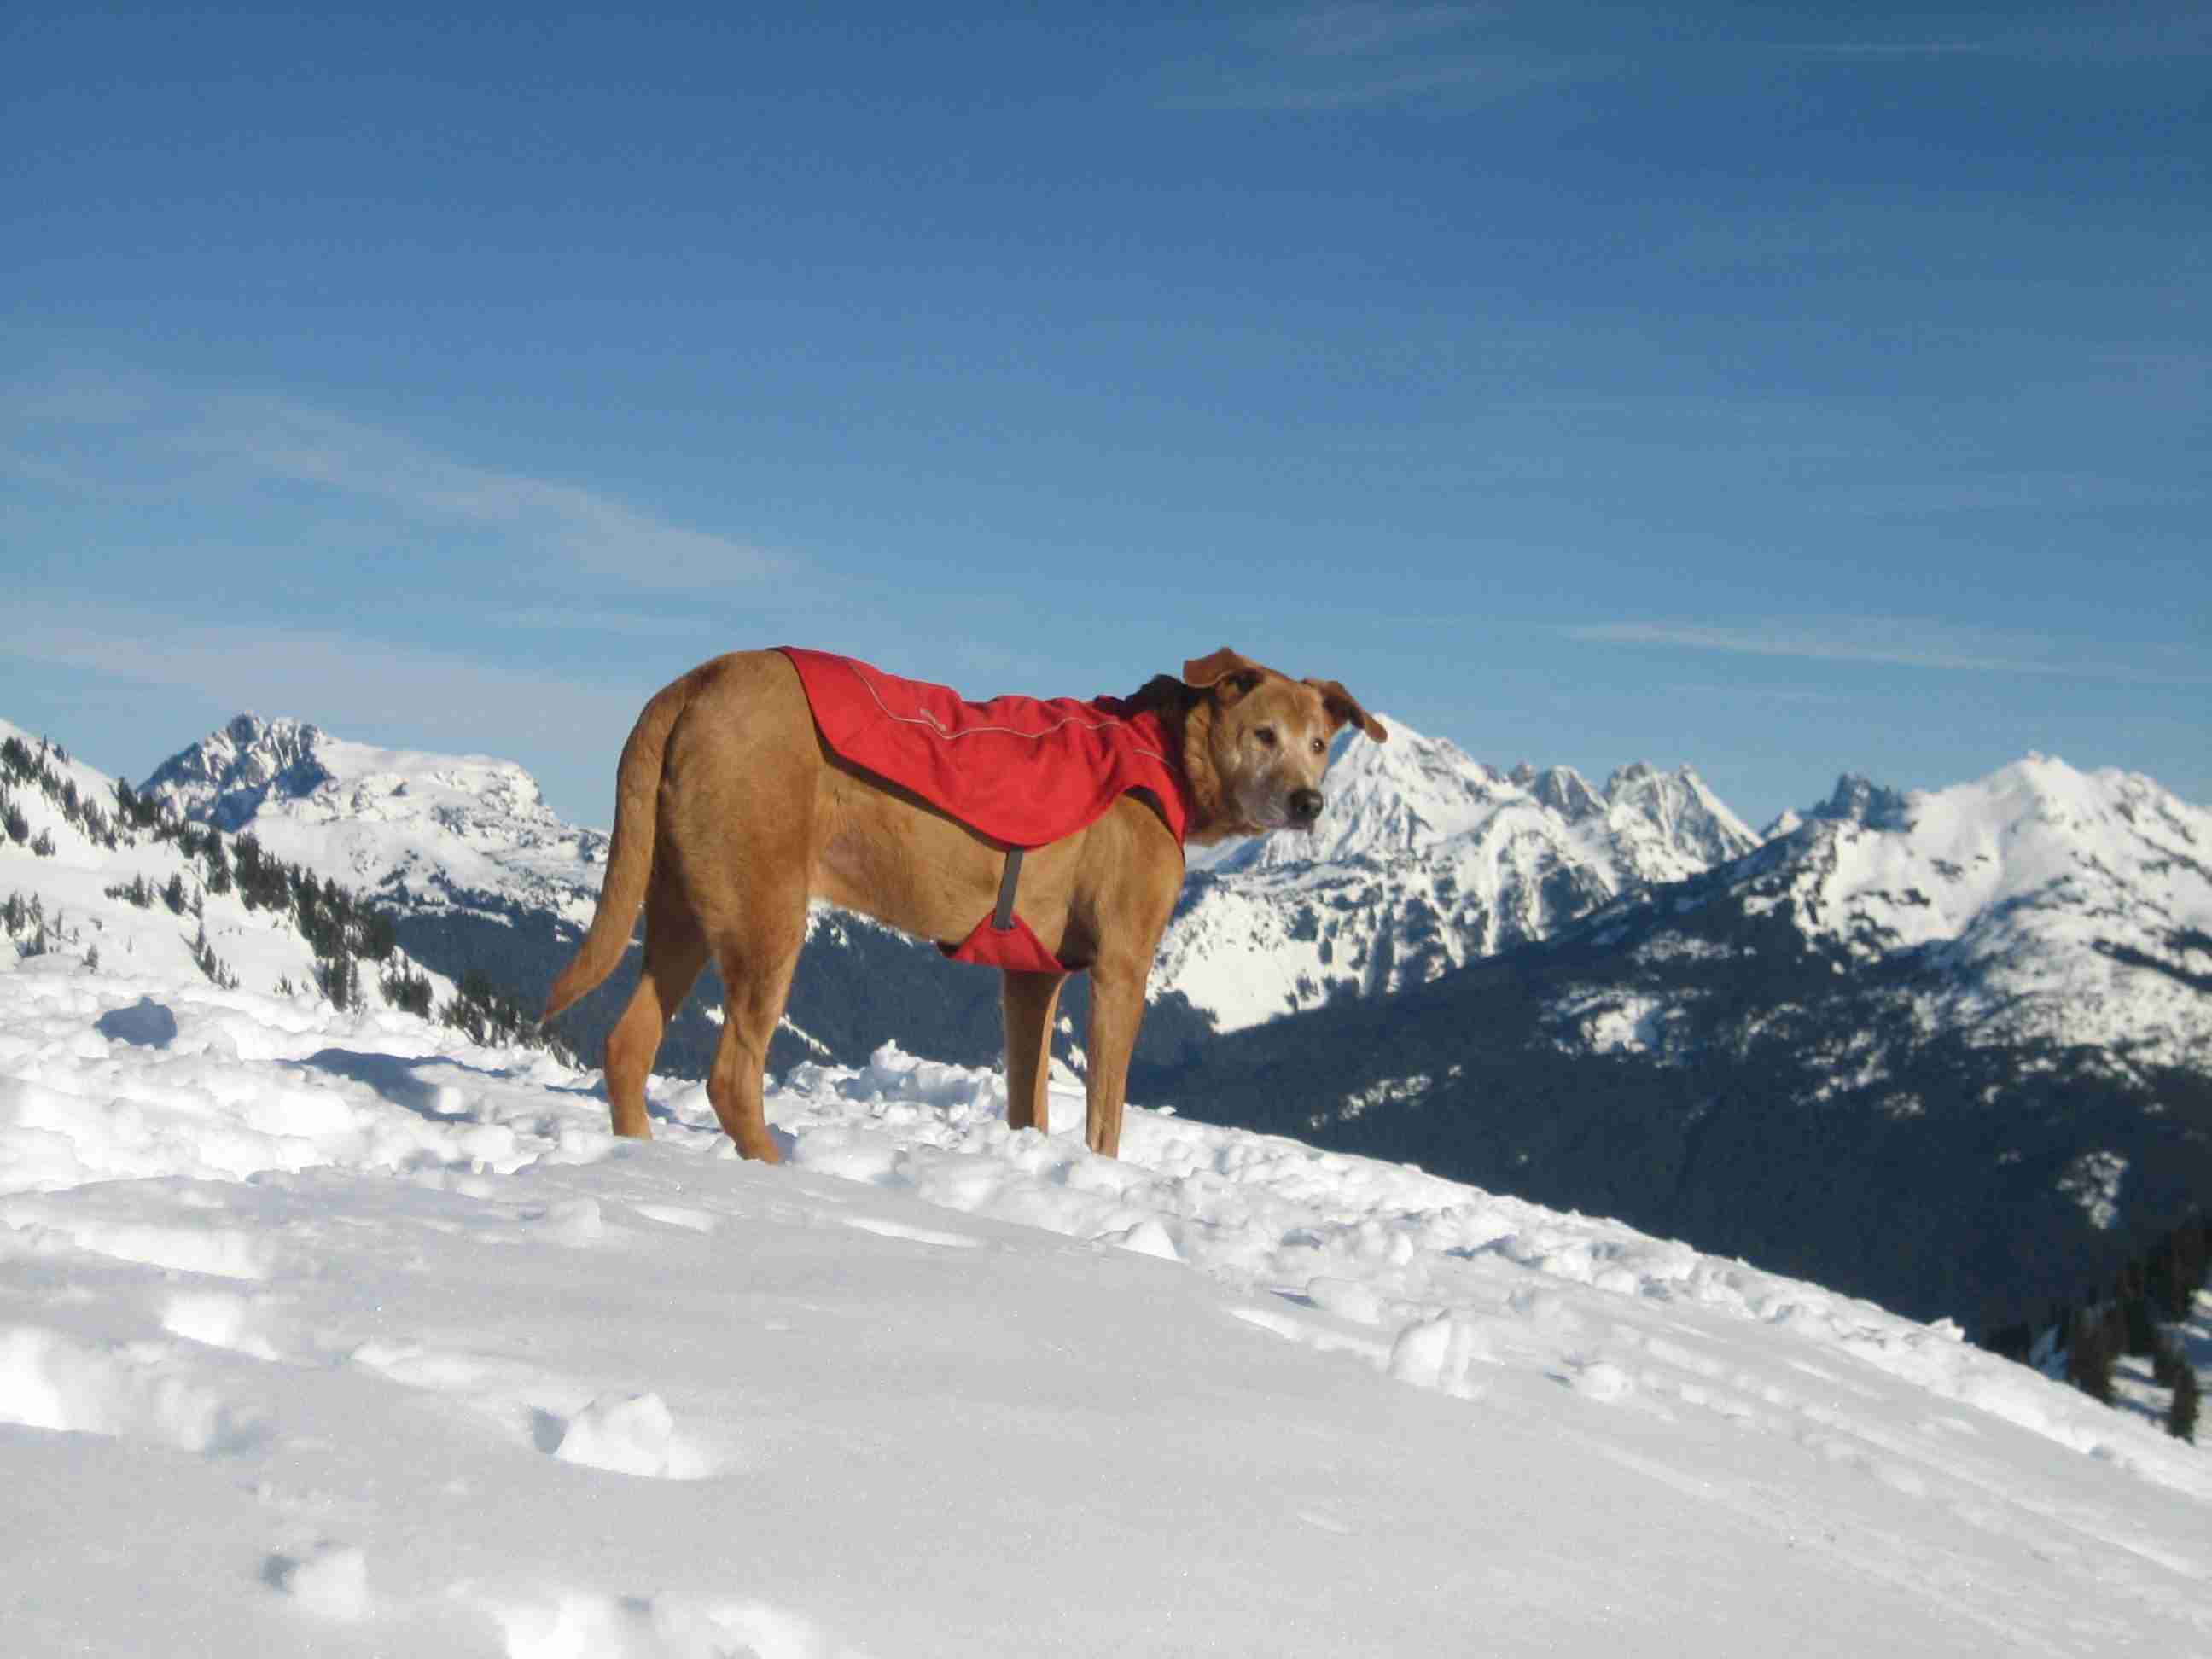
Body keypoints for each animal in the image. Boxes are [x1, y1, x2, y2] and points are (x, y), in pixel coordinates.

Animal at [542, 646, 1385, 1160]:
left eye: (1320, 743)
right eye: (1264, 734)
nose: (1311, 803)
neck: (1166, 754)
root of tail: (698, 679)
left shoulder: (1033, 976)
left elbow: (1029, 1099)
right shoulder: (1121, 969)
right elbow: (1104, 1115)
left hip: (683, 909)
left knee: (627, 1046)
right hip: (766, 917)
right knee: (729, 1075)